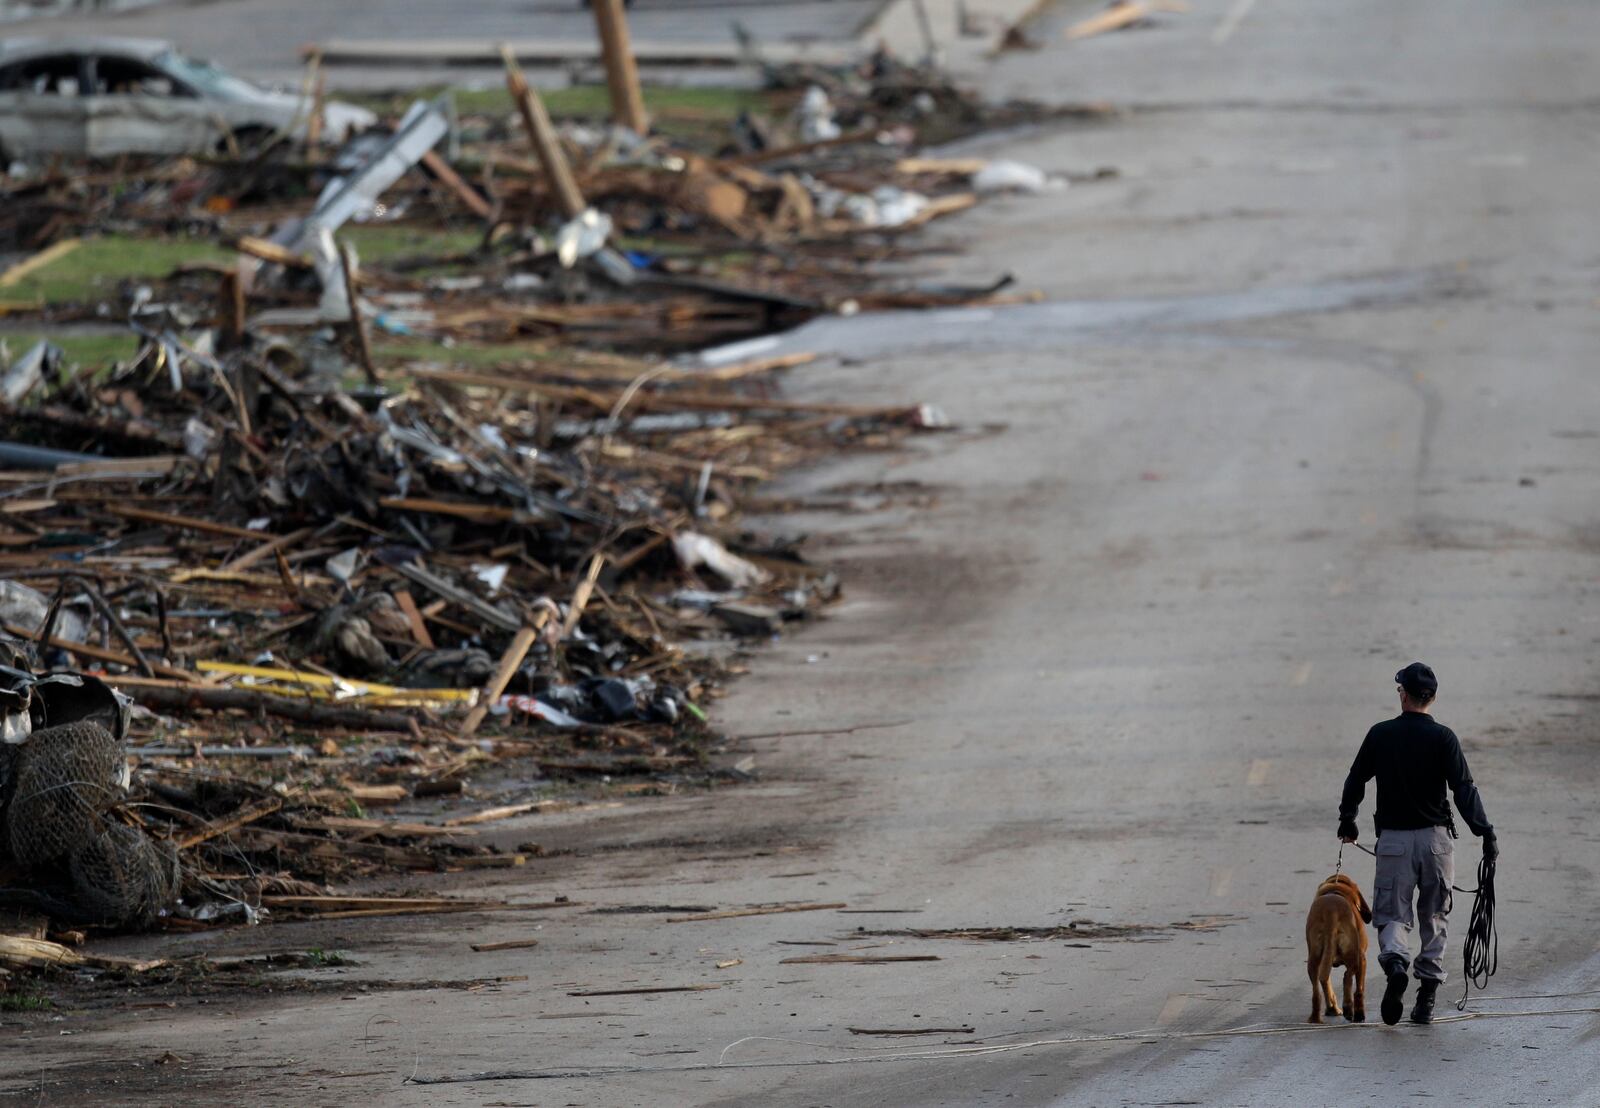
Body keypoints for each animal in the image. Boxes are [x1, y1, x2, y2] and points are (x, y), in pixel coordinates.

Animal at [1305, 877, 1369, 1018]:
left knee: (1317, 987)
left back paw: (1323, 1012)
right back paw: (1348, 1008)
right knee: (1347, 977)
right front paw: (1359, 1013)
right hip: (1354, 956)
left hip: (1314, 959)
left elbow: (1327, 983)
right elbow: (1360, 988)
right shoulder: (1362, 958)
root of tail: (1330, 912)